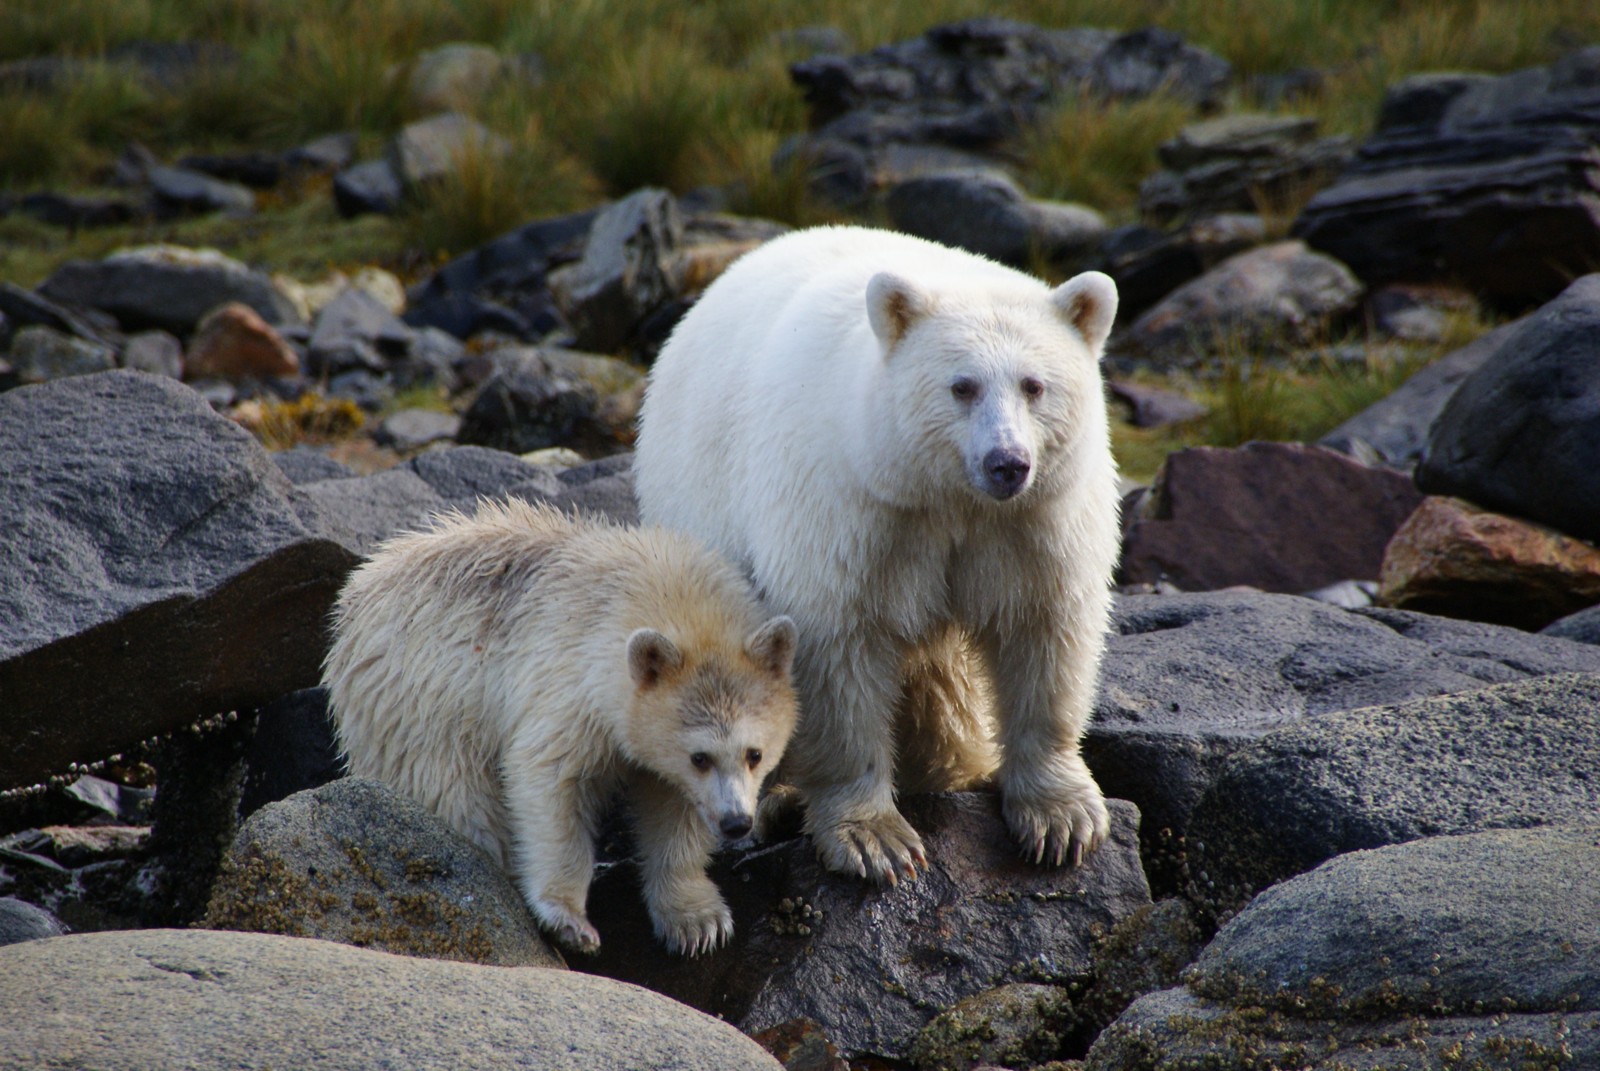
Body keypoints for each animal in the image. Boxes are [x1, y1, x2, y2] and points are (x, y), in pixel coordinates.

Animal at [323, 496, 800, 954]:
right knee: (457, 795)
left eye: (754, 754)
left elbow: (674, 808)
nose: (736, 822)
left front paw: (698, 922)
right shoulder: (571, 683)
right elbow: (551, 780)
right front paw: (569, 920)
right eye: (699, 757)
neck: (652, 587)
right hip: (420, 705)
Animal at [630, 225, 1120, 883]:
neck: (947, 497)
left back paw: (954, 761)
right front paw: (874, 838)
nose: (1007, 462)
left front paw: (1062, 819)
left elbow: (1045, 630)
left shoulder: (1033, 521)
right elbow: (838, 645)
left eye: (1034, 385)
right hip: (699, 502)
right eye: (962, 386)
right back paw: (779, 799)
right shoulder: (856, 509)